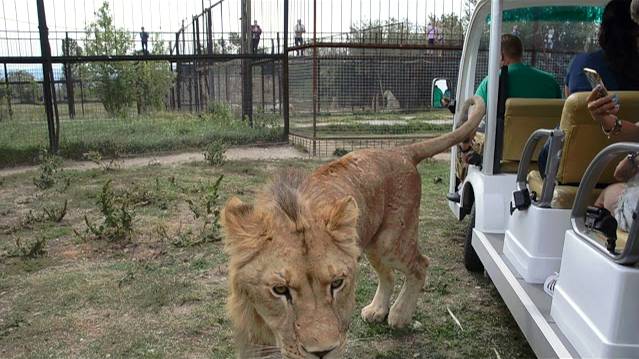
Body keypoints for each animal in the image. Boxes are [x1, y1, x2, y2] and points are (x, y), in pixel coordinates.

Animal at [222, 97, 488, 358]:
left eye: (337, 283)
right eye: (280, 289)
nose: (322, 352)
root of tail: (400, 150)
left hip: (390, 242)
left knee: (420, 264)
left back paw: (399, 315)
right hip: (370, 243)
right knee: (388, 274)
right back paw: (377, 310)